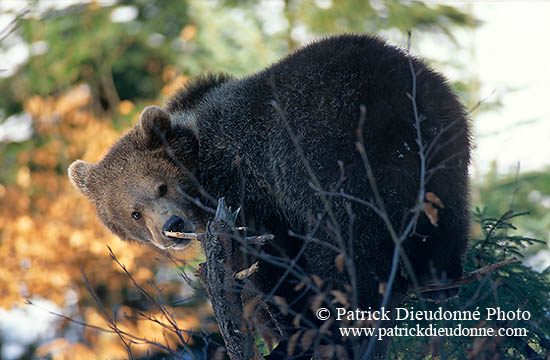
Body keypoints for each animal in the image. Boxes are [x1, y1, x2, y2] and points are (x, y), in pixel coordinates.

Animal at [69, 33, 472, 358]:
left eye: (161, 186)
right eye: (133, 213)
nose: (170, 226)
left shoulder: (245, 188)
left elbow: (270, 262)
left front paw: (293, 332)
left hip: (329, 148)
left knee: (340, 238)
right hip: (441, 137)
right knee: (446, 211)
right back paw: (439, 277)